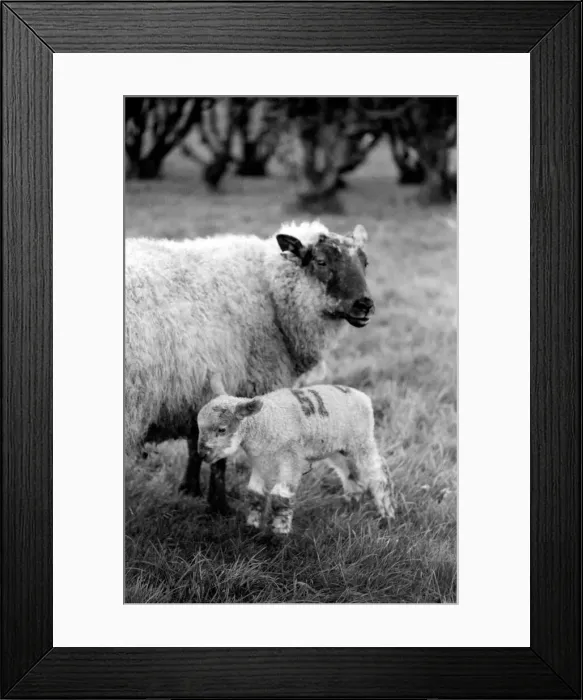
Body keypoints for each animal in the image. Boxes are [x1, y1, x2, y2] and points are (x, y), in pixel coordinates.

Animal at [125, 221, 375, 514]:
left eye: (365, 262)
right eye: (321, 262)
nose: (365, 305)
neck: (269, 292)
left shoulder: (199, 390)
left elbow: (195, 444)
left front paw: (189, 490)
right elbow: (219, 455)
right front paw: (220, 507)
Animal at [197, 376, 395, 535]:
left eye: (222, 429)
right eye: (198, 427)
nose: (202, 454)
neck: (266, 421)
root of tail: (361, 395)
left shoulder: (291, 458)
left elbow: (281, 498)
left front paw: (278, 536)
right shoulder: (260, 462)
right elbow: (255, 494)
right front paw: (251, 529)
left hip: (361, 441)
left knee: (379, 472)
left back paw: (387, 514)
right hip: (339, 448)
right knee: (351, 474)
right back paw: (350, 506)